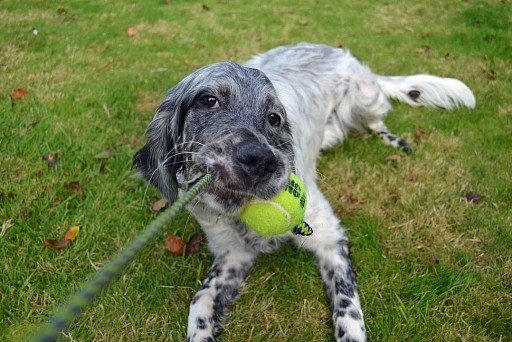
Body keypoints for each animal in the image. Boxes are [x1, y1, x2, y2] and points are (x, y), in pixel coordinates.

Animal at [134, 43, 474, 342]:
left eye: (274, 118)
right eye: (208, 100)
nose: (261, 160)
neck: (241, 212)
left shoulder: (330, 238)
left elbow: (348, 308)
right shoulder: (232, 253)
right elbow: (200, 301)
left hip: (363, 97)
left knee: (376, 120)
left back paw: (394, 140)